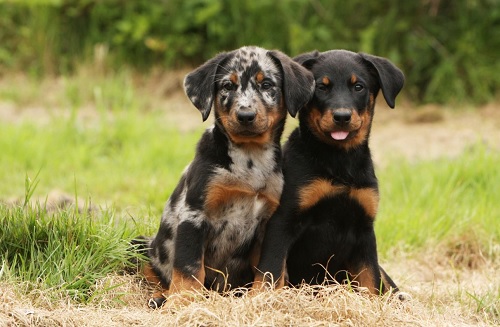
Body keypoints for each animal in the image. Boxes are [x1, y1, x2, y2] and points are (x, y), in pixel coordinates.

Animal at [139, 46, 314, 308]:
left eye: (267, 84)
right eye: (227, 86)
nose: (245, 115)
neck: (249, 161)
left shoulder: (269, 222)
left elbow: (270, 268)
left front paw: (265, 296)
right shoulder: (194, 214)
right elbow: (189, 268)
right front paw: (183, 302)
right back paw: (161, 297)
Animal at [256, 49, 404, 298]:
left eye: (358, 87)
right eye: (321, 87)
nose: (342, 117)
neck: (339, 161)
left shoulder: (364, 230)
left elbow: (370, 280)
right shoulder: (283, 221)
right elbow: (271, 270)